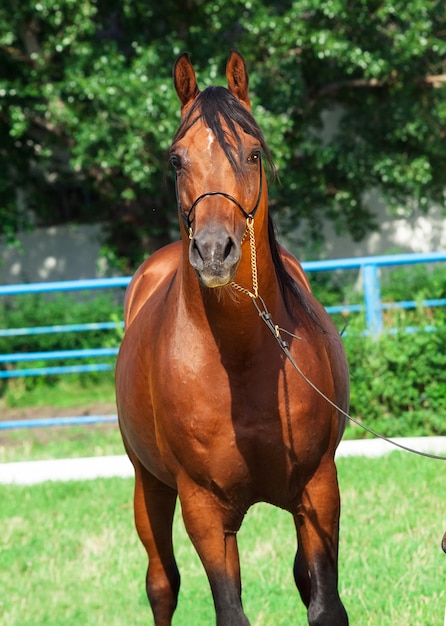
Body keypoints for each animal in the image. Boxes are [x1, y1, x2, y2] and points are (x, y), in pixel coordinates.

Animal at [114, 51, 348, 620]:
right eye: (176, 160)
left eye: (254, 153)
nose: (214, 251)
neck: (242, 358)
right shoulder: (203, 510)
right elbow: (228, 610)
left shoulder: (319, 490)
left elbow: (324, 603)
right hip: (149, 487)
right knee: (162, 583)